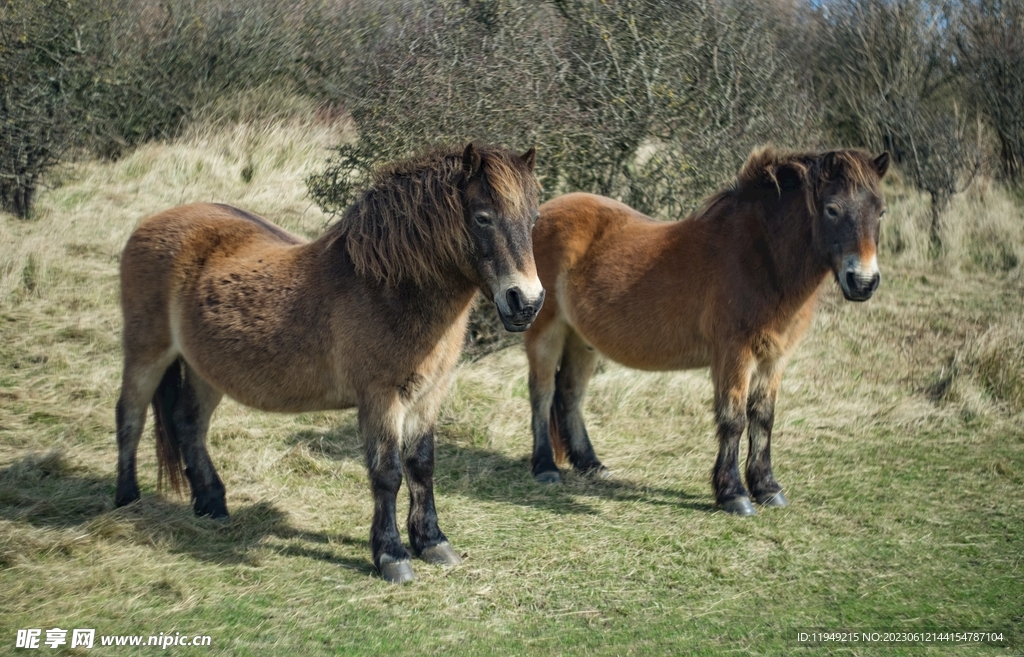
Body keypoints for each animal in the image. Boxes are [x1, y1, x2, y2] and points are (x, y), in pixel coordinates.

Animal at [114, 143, 543, 583]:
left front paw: (433, 542)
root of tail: (150, 224)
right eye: (482, 217)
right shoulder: (380, 398)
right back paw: (127, 500)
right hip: (146, 352)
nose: (525, 302)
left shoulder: (428, 396)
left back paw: (212, 503)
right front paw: (392, 556)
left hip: (205, 370)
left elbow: (421, 465)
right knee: (130, 416)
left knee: (189, 424)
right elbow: (387, 473)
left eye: (534, 218)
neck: (386, 289)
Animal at [524, 147, 889, 515]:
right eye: (832, 209)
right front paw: (734, 494)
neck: (760, 258)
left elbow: (763, 419)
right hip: (546, 332)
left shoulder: (774, 359)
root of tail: (543, 214)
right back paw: (545, 468)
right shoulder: (734, 355)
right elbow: (733, 420)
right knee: (542, 394)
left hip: (582, 340)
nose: (863, 282)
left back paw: (592, 465)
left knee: (570, 394)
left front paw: (767, 488)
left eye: (881, 211)